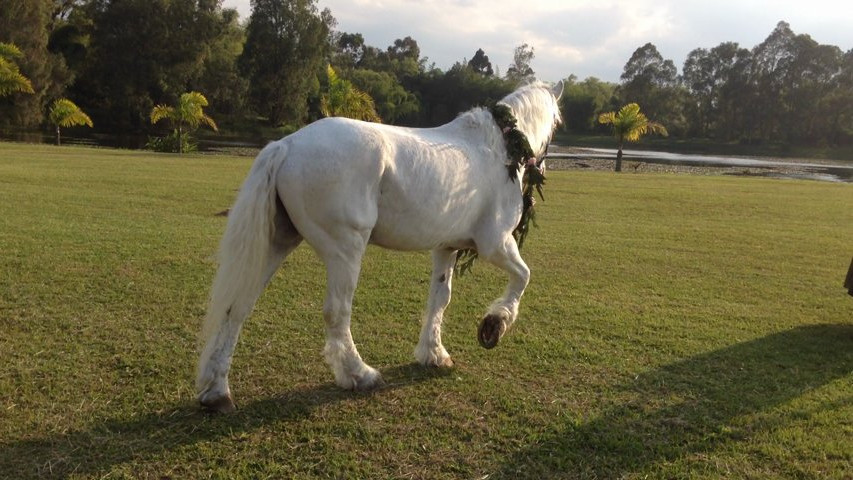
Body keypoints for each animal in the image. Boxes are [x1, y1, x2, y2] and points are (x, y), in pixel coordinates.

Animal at [196, 80, 564, 410]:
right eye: (557, 124)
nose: (544, 167)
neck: (501, 146)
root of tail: (287, 144)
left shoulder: (445, 248)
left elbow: (440, 299)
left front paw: (433, 353)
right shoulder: (495, 244)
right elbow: (523, 277)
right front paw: (494, 324)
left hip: (277, 243)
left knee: (236, 307)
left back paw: (216, 391)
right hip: (345, 251)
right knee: (336, 312)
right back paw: (358, 374)